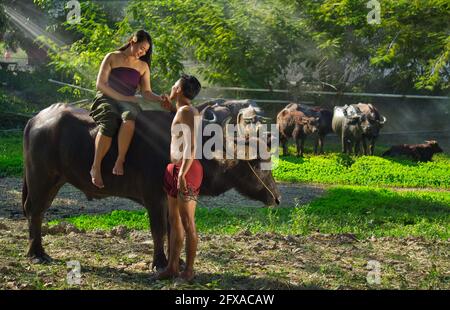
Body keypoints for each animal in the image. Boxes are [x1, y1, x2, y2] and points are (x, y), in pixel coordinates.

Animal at [22, 103, 282, 268]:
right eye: (260, 165)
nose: (276, 197)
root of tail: (35, 119)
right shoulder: (153, 198)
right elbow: (159, 230)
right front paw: (159, 262)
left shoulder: (171, 199)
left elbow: (172, 229)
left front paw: (177, 262)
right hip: (41, 179)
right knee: (35, 212)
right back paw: (37, 254)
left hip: (55, 181)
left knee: (37, 211)